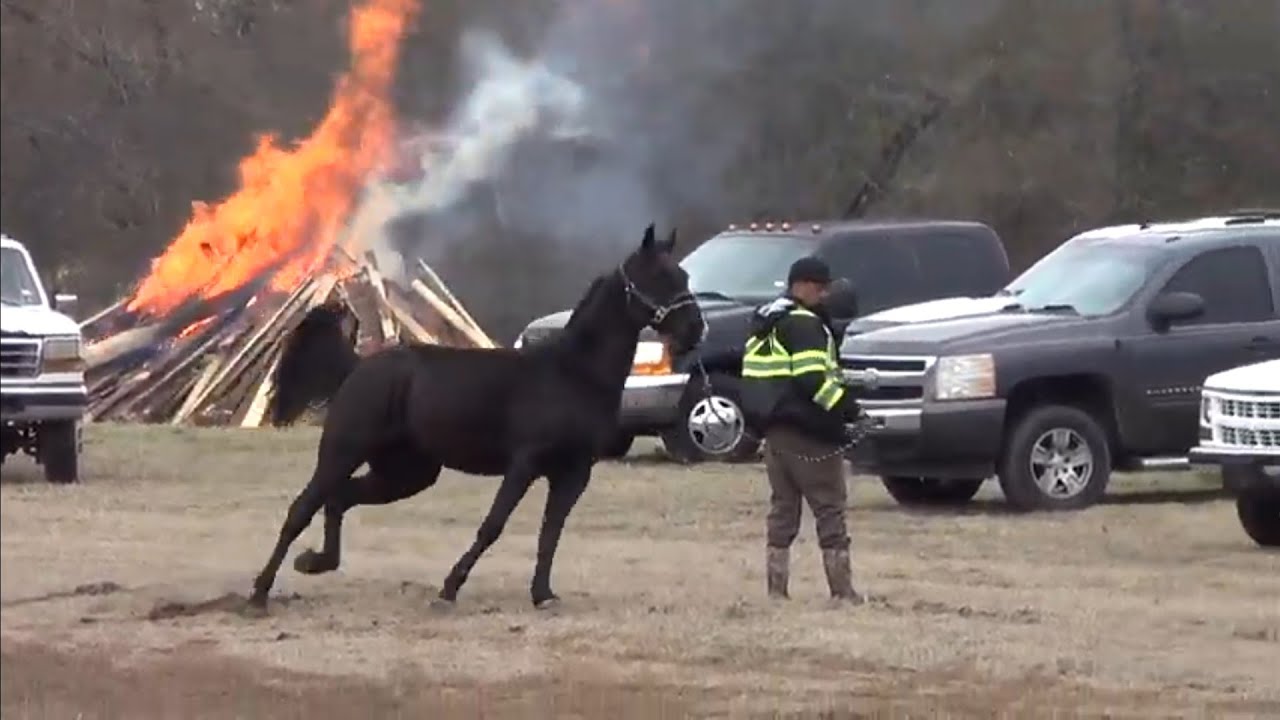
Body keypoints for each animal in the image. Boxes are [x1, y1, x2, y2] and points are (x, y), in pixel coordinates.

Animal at [248, 223, 705, 612]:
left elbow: (550, 534)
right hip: (344, 451)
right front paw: (449, 589)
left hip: (406, 473)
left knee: (340, 498)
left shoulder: (573, 473)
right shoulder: (525, 464)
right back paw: (260, 592)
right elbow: (494, 525)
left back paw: (315, 562)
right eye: (657, 277)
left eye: (682, 276)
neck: (573, 374)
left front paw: (543, 595)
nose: (695, 331)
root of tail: (359, 367)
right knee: (303, 507)